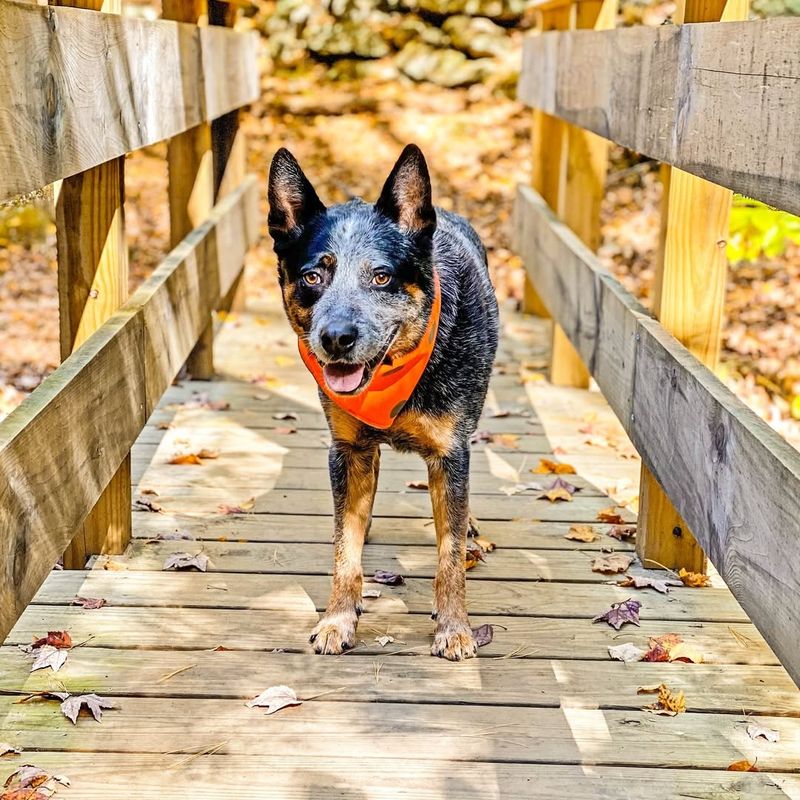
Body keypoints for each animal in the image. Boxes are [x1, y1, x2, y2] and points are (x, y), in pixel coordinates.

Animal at [266, 145, 496, 664]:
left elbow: (449, 554)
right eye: (313, 276)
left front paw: (454, 628)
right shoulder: (348, 451)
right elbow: (345, 551)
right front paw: (337, 620)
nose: (336, 338)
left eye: (381, 276)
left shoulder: (451, 453)